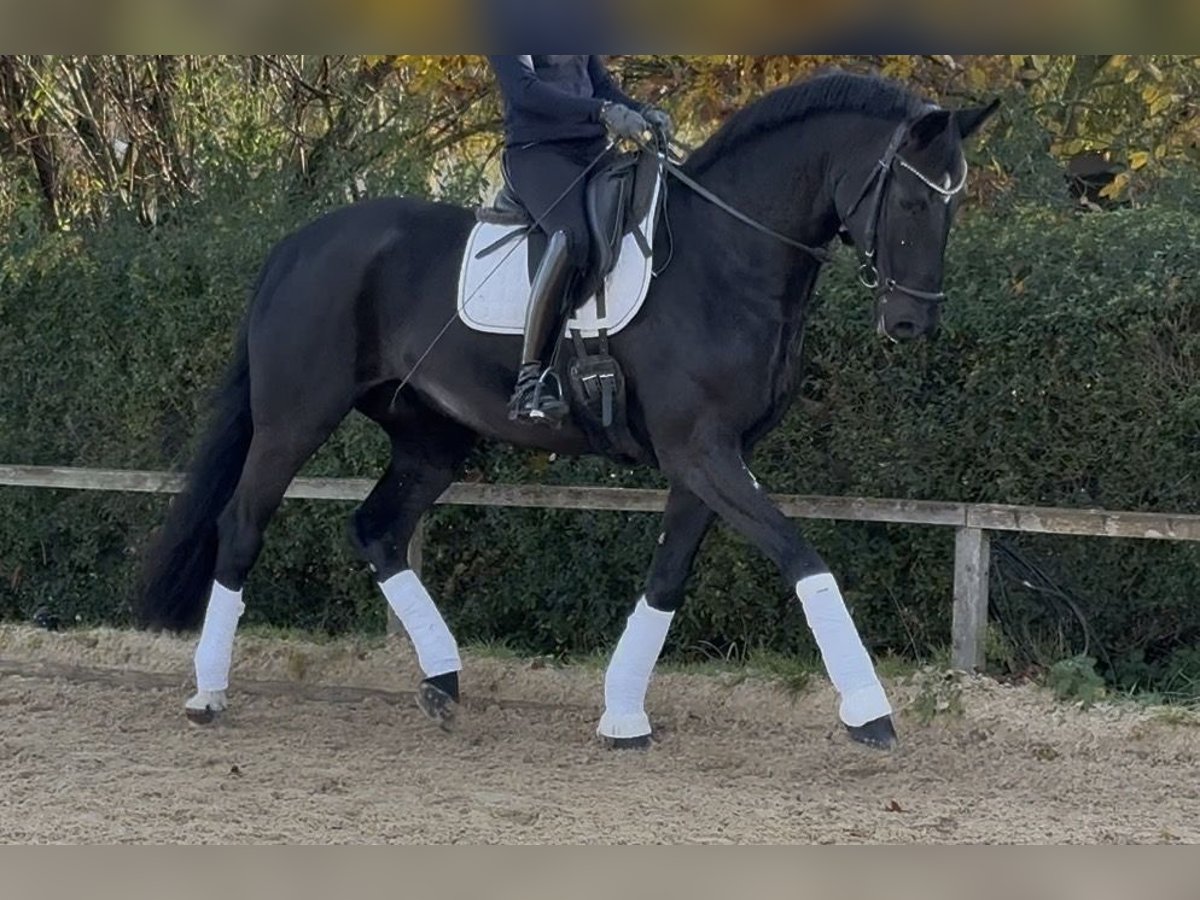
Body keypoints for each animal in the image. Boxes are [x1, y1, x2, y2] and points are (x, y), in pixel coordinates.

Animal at [136, 71, 999, 751]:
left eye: (955, 203)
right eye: (913, 197)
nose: (911, 324)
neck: (726, 259)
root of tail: (298, 244)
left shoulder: (713, 457)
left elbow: (666, 577)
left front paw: (622, 716)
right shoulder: (701, 451)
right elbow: (803, 557)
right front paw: (869, 712)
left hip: (429, 436)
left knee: (377, 528)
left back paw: (443, 683)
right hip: (295, 420)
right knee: (242, 524)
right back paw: (208, 693)